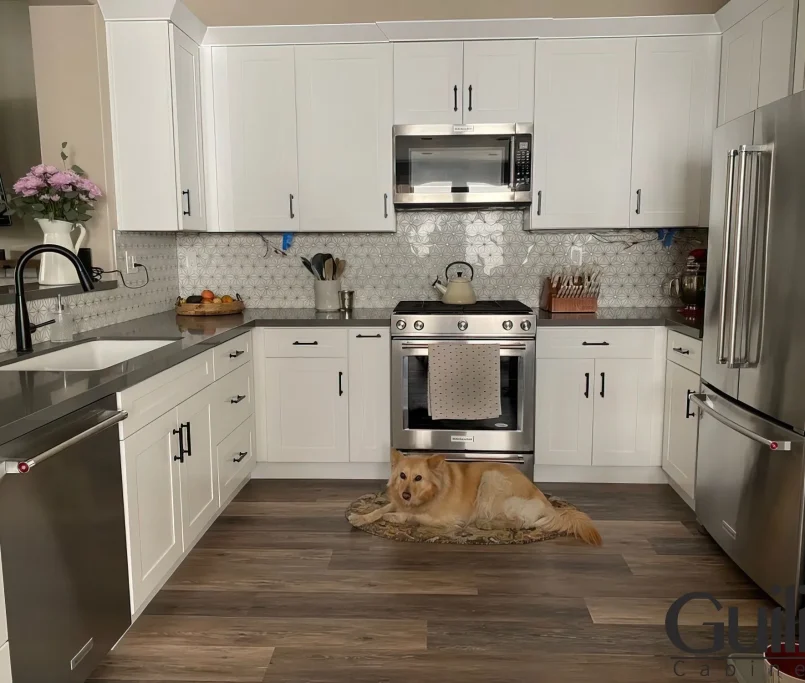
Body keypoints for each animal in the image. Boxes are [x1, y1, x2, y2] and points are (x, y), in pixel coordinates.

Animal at [348, 452, 600, 548]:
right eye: (402, 476)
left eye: (418, 478)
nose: (405, 494)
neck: (430, 493)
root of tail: (548, 505)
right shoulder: (398, 500)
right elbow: (378, 510)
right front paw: (360, 517)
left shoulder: (449, 519)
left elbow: (412, 516)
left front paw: (394, 517)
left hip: (491, 479)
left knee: (519, 522)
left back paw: (485, 524)